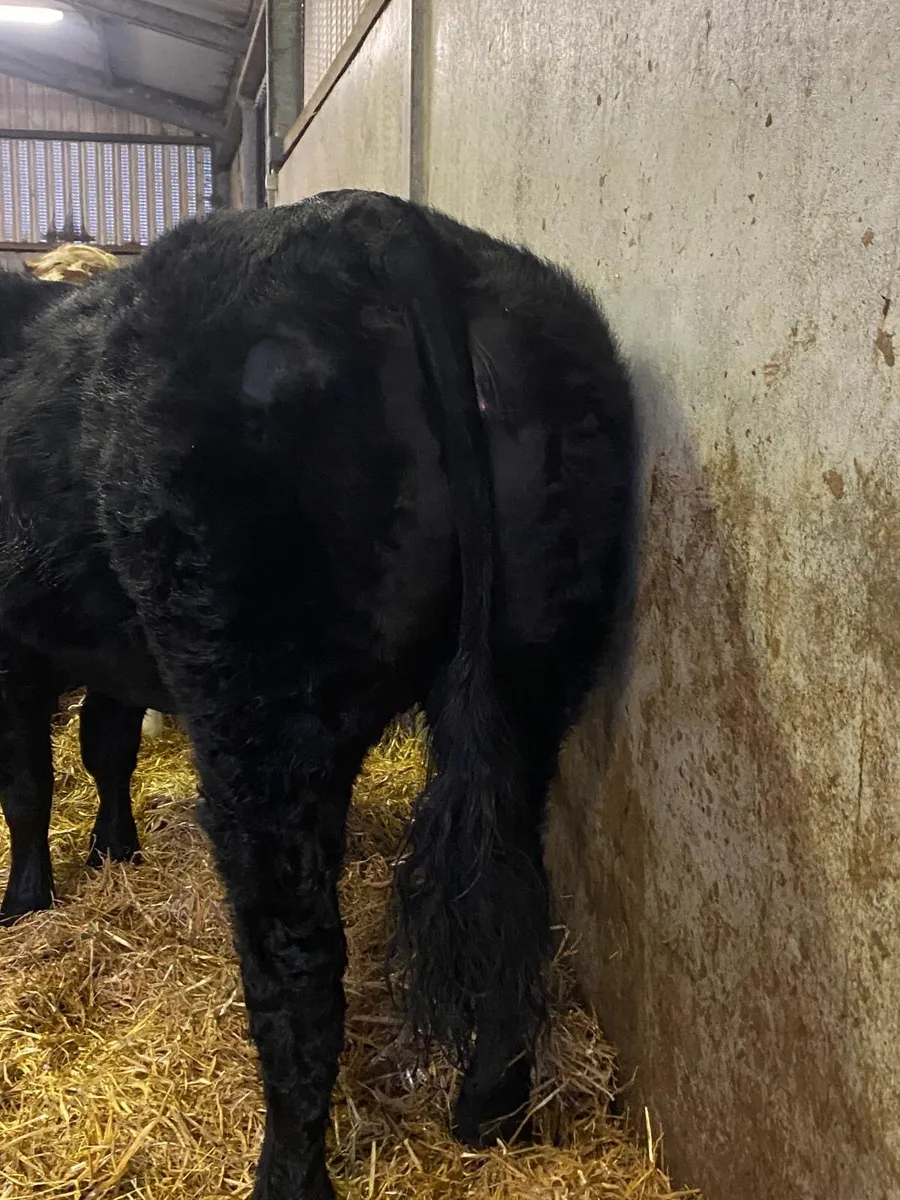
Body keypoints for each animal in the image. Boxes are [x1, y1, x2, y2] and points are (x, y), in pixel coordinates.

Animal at [0, 189, 637, 1199]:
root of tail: (386, 225)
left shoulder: (17, 640)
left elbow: (30, 780)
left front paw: (26, 901)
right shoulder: (108, 646)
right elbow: (107, 743)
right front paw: (114, 851)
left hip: (257, 700)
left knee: (298, 956)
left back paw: (289, 1172)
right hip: (535, 663)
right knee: (511, 882)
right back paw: (489, 1110)